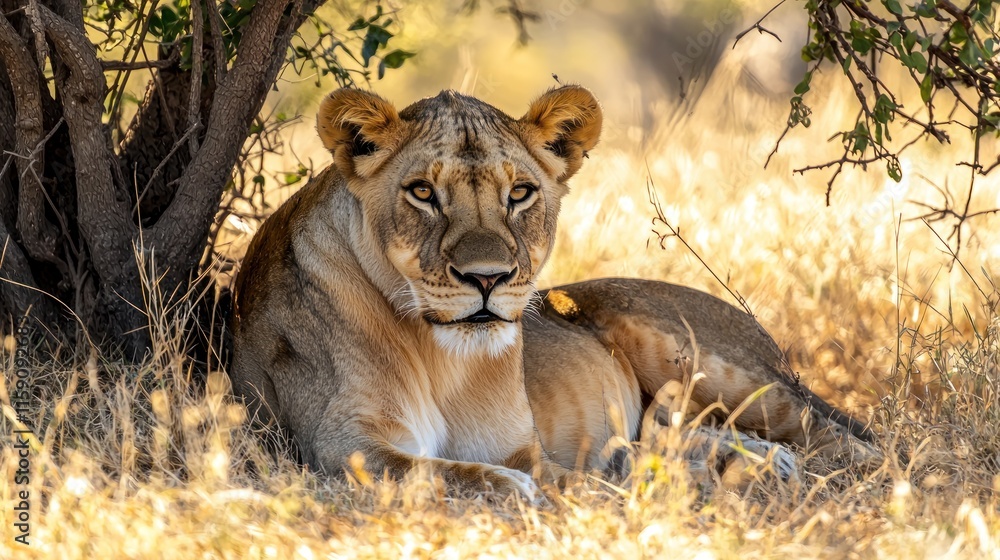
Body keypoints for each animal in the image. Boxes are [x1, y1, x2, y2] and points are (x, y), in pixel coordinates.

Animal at [230, 85, 877, 499]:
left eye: (519, 193)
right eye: (422, 193)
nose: (487, 278)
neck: (442, 356)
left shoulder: (525, 446)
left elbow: (574, 480)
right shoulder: (341, 444)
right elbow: (433, 470)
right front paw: (506, 486)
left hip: (706, 358)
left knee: (842, 435)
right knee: (677, 433)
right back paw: (751, 461)